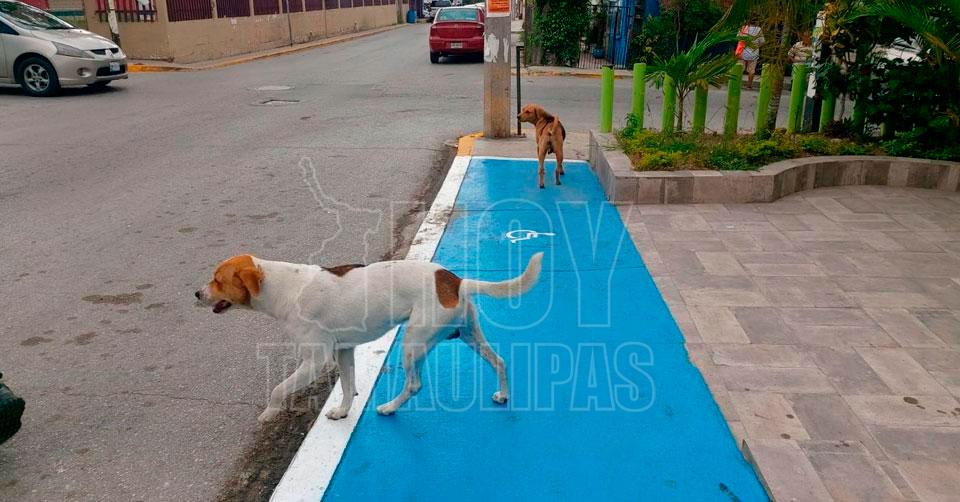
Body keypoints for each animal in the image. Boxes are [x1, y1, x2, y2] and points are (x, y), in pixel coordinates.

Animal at [196, 253, 543, 422]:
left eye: (217, 280)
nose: (196, 294)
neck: (283, 287)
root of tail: (455, 281)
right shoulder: (344, 352)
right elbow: (348, 386)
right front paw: (342, 412)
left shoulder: (315, 361)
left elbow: (279, 389)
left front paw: (269, 414)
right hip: (469, 336)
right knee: (500, 362)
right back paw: (503, 395)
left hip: (413, 343)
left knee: (414, 385)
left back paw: (389, 408)